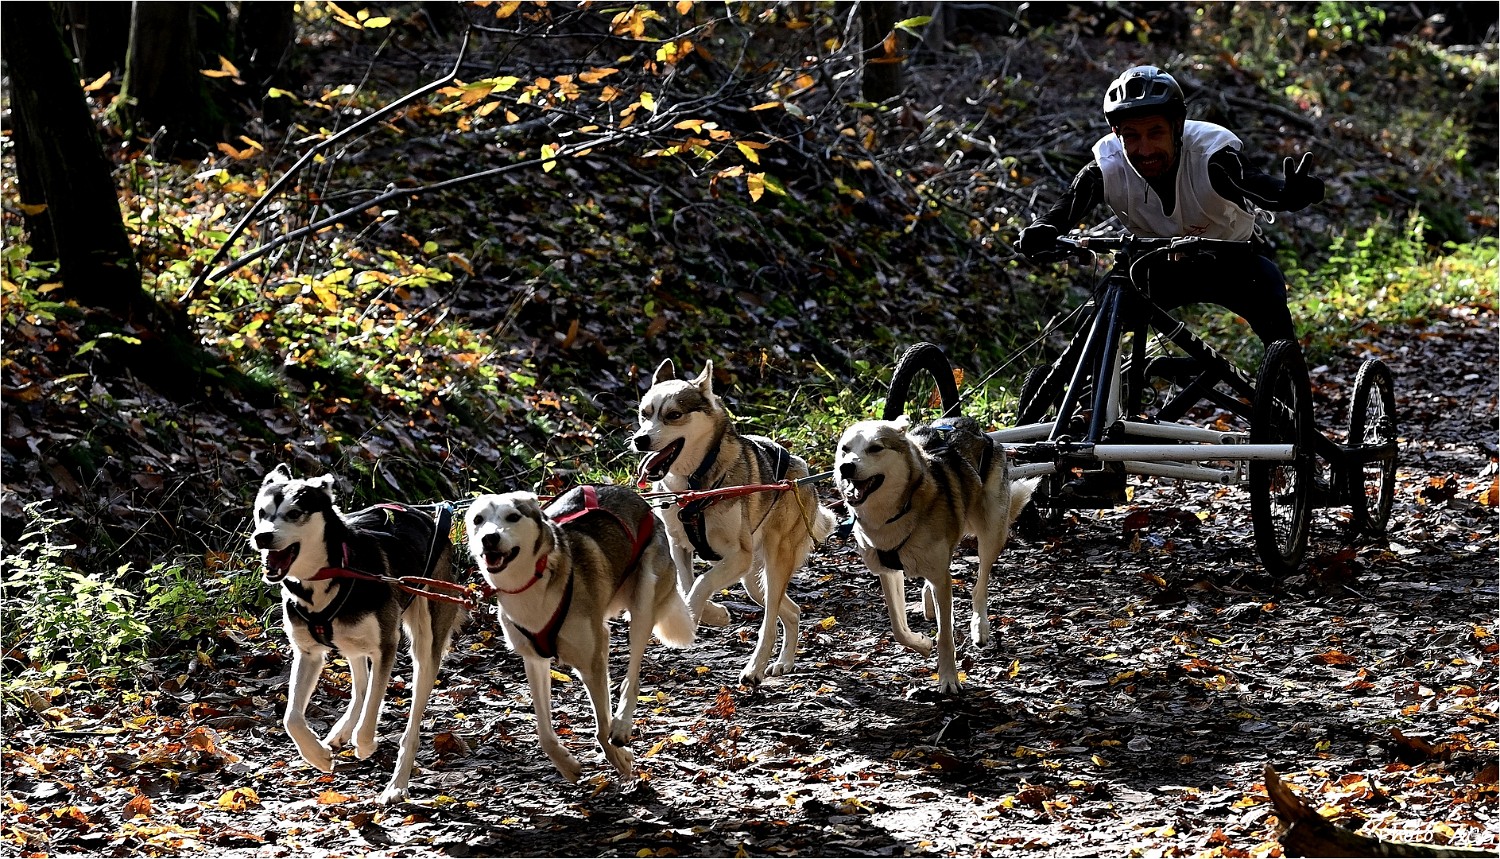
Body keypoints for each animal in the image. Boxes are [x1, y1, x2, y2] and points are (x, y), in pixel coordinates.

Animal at [250, 464, 463, 805]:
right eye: (262, 512)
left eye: (295, 513)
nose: (262, 537)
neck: (332, 573)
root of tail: (425, 514)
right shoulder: (308, 653)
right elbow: (292, 718)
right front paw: (318, 755)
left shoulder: (385, 647)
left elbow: (372, 711)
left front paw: (365, 745)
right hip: (352, 643)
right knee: (361, 685)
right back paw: (339, 733)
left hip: (425, 641)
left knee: (409, 721)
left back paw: (396, 785)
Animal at [465, 485, 694, 782]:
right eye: (478, 520)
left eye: (513, 517)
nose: (489, 538)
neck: (533, 582)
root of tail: (638, 498)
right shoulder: (534, 661)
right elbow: (544, 733)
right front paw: (567, 764)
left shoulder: (592, 660)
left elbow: (602, 727)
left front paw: (618, 755)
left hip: (644, 601)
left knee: (631, 677)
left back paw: (622, 724)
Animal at [632, 359, 837, 687]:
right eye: (644, 413)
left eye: (674, 415)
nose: (640, 440)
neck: (694, 485)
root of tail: (802, 473)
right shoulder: (680, 547)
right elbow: (687, 583)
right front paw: (713, 614)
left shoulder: (737, 556)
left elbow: (701, 583)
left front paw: (695, 615)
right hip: (753, 580)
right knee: (791, 611)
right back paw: (784, 662)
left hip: (774, 563)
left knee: (770, 622)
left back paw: (755, 668)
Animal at [835, 415, 1035, 695]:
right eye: (845, 449)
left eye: (875, 448)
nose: (846, 467)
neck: (896, 514)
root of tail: (977, 429)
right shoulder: (888, 572)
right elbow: (898, 628)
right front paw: (922, 643)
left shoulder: (942, 578)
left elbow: (945, 636)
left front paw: (949, 678)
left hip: (991, 534)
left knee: (980, 584)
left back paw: (980, 626)